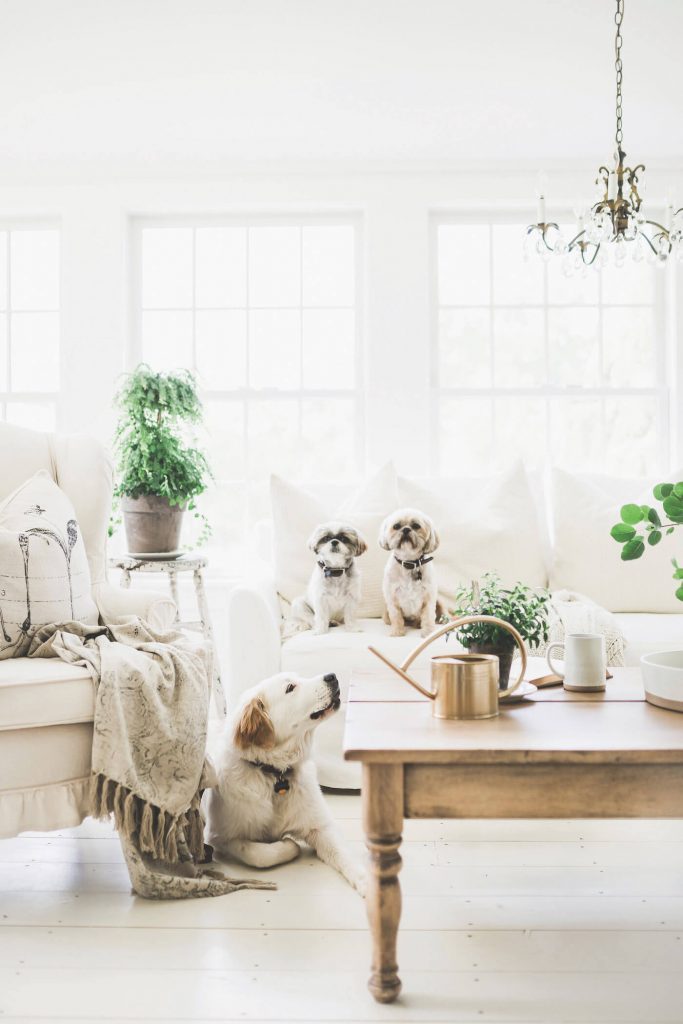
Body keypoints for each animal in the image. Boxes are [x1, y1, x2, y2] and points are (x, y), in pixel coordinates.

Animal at [206, 667, 368, 892]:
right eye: (290, 687)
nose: (332, 676)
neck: (274, 774)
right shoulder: (219, 836)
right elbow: (258, 854)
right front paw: (289, 845)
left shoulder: (321, 826)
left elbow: (344, 854)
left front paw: (369, 883)